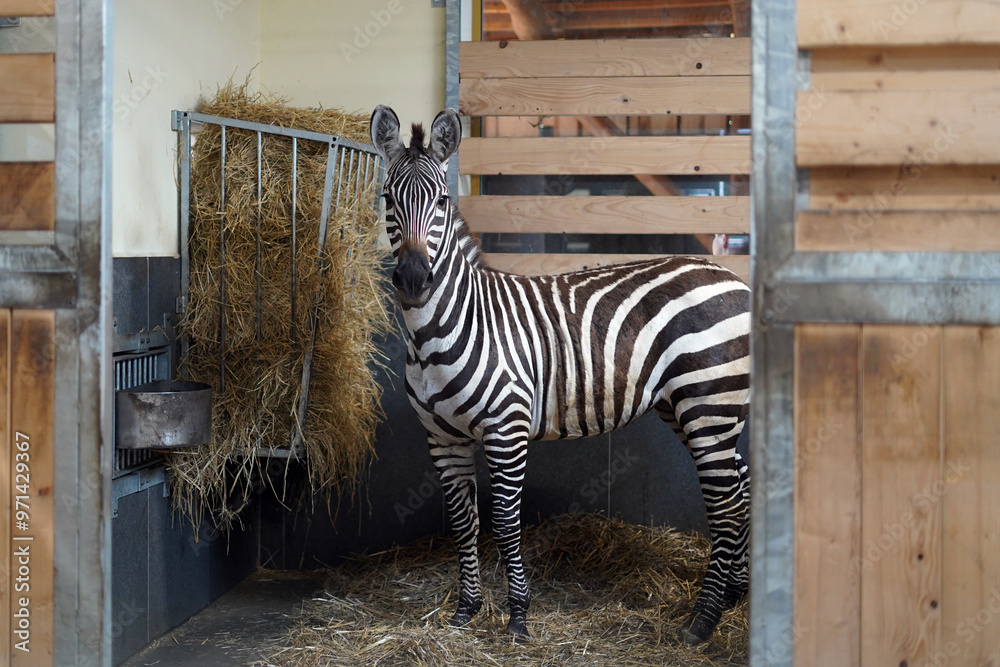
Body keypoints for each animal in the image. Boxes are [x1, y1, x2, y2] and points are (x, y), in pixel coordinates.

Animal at [370, 105, 752, 648]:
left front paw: (518, 617)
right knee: (739, 488)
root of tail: (731, 276)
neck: (439, 332)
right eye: (387, 198)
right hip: (691, 408)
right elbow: (463, 523)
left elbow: (506, 521)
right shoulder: (442, 438)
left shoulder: (505, 429)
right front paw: (466, 611)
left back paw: (702, 620)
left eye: (442, 200)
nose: (414, 279)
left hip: (709, 405)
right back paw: (735, 595)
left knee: (724, 504)